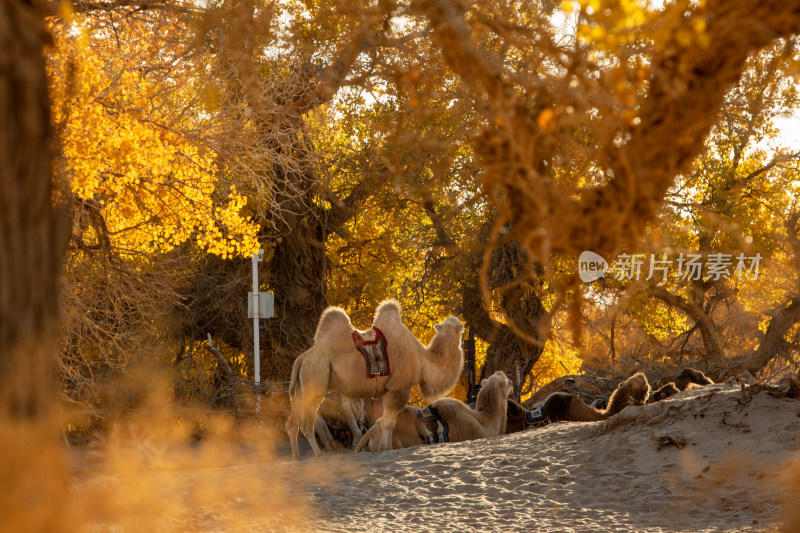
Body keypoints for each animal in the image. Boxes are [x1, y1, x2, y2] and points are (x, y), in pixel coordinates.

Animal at [286, 300, 462, 458]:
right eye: (459, 327)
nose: (463, 326)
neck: (422, 359)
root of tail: (302, 358)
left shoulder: (389, 390)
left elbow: (385, 421)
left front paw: (385, 447)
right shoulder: (399, 388)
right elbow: (388, 423)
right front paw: (386, 448)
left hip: (302, 386)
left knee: (292, 423)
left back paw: (296, 457)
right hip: (315, 377)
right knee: (307, 424)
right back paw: (318, 455)